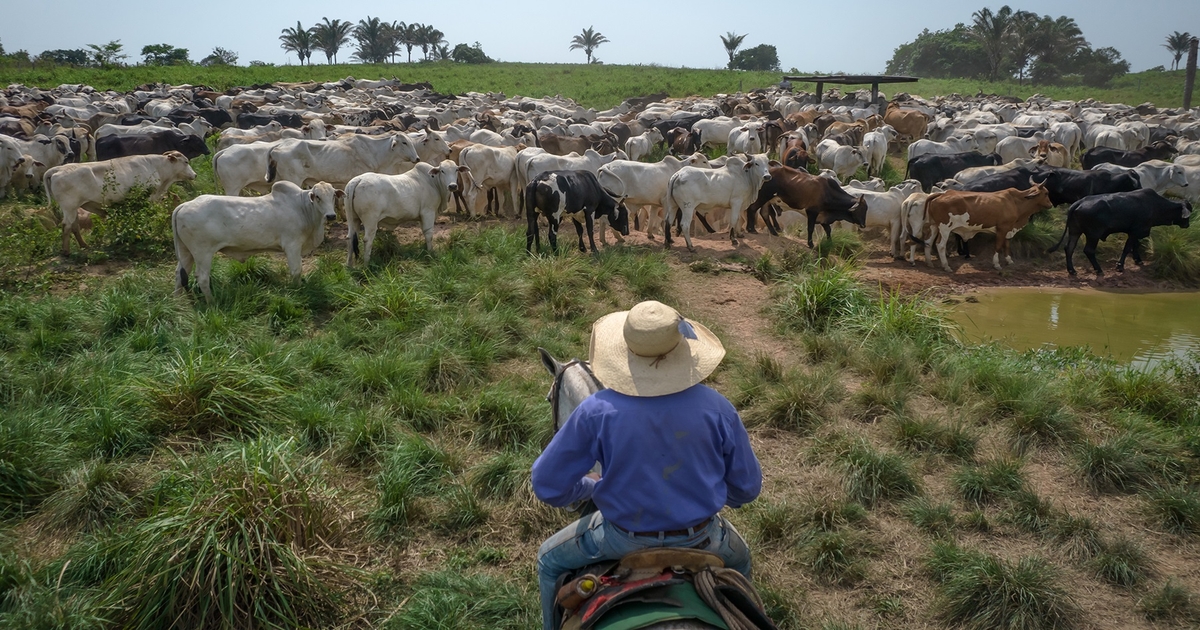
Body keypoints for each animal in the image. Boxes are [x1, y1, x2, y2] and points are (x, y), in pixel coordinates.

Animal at [44, 151, 197, 255]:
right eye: (186, 162)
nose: (195, 175)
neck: (155, 167)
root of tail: (58, 169)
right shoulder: (146, 198)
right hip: (69, 207)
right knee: (66, 226)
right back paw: (66, 251)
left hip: (74, 208)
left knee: (74, 226)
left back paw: (84, 246)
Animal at [172, 181, 341, 301]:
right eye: (317, 196)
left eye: (333, 195)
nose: (331, 216)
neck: (302, 207)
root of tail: (184, 205)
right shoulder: (292, 245)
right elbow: (296, 270)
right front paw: (299, 290)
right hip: (202, 252)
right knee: (202, 278)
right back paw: (211, 302)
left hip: (186, 252)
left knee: (180, 275)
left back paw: (177, 302)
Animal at [918, 183, 1054, 272]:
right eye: (1046, 193)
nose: (1051, 204)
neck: (1015, 202)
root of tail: (941, 195)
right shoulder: (1002, 228)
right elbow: (998, 246)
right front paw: (997, 264)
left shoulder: (1008, 229)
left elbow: (1007, 245)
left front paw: (1009, 260)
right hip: (945, 228)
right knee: (940, 245)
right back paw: (946, 266)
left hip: (934, 226)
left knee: (928, 242)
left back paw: (929, 263)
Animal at [1047, 189, 1192, 275]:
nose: (1187, 225)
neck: (1155, 205)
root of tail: (1077, 203)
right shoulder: (1135, 231)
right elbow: (1128, 248)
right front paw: (1120, 266)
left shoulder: (1136, 232)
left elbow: (1135, 246)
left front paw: (1138, 260)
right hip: (1093, 235)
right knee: (1088, 251)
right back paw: (1098, 269)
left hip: (1075, 231)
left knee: (1069, 248)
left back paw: (1072, 270)